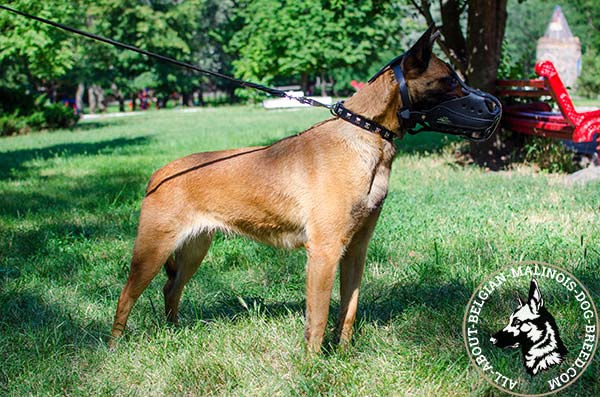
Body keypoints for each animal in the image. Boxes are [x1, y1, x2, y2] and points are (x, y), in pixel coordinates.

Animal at [111, 27, 464, 350]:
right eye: (450, 81)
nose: (479, 98)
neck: (365, 134)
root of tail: (159, 174)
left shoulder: (355, 250)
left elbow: (348, 310)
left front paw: (344, 354)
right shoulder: (324, 252)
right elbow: (318, 319)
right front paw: (314, 365)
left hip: (193, 251)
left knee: (171, 288)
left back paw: (174, 332)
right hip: (152, 251)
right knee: (126, 295)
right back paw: (115, 346)